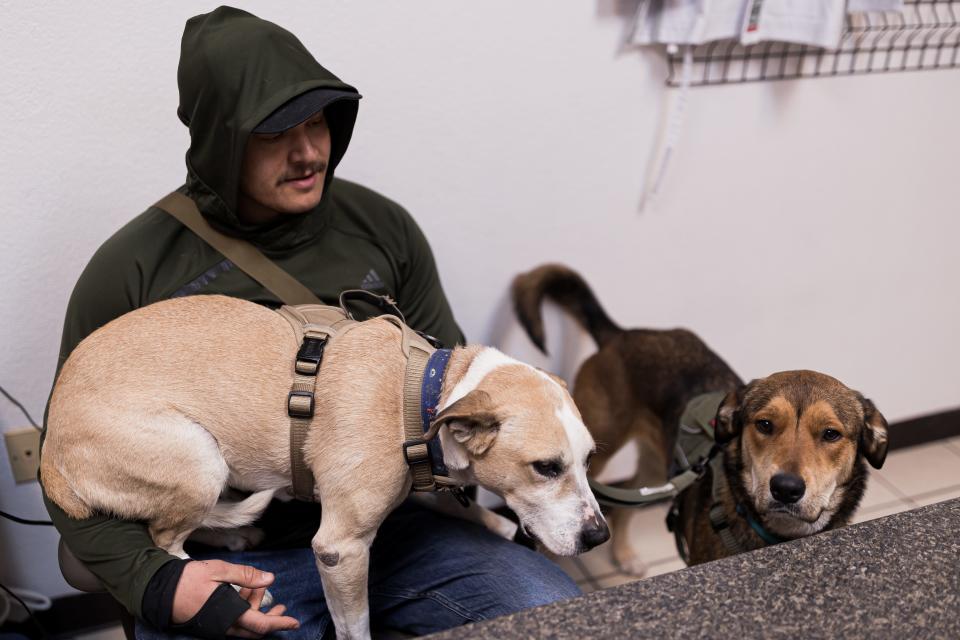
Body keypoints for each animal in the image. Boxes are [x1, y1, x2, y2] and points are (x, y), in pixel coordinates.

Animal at [512, 264, 888, 576]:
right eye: (764, 424)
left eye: (831, 434)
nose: (785, 488)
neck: (781, 534)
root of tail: (623, 334)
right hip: (592, 449)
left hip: (656, 464)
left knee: (628, 500)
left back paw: (625, 555)